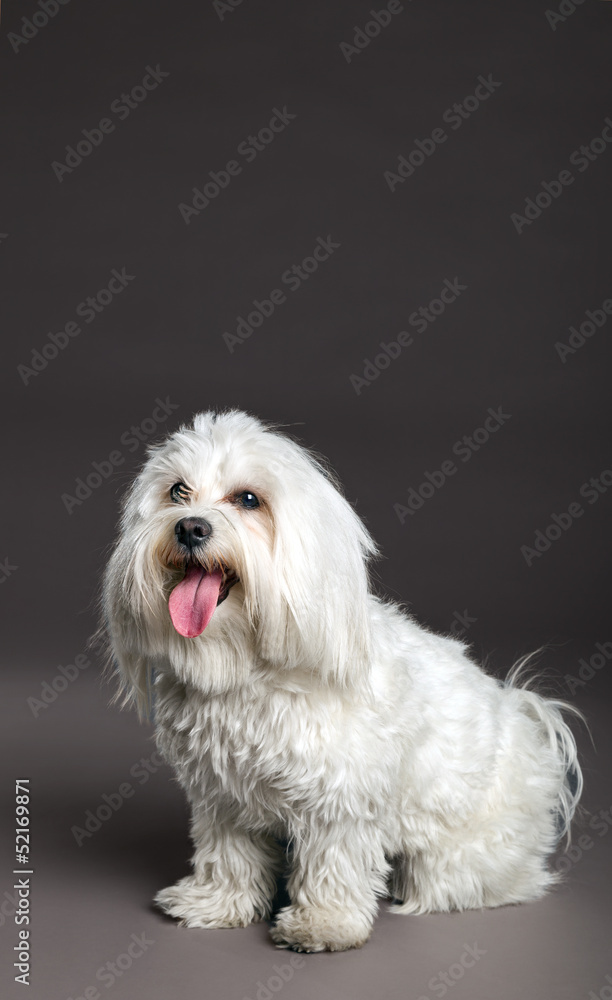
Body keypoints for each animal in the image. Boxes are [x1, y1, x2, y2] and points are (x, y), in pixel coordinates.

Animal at [101, 408, 584, 952]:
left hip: (457, 854)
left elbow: (332, 862)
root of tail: (528, 716)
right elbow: (229, 854)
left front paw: (323, 924)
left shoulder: (340, 800)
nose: (189, 527)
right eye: (177, 492)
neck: (248, 667)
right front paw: (216, 902)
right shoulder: (221, 794)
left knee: (476, 880)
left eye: (248, 499)